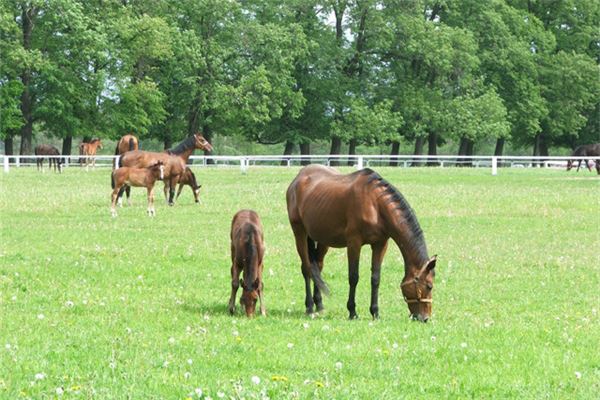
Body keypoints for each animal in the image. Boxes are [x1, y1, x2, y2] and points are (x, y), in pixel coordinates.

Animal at [286, 165, 437, 322]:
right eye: (429, 286)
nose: (425, 318)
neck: (375, 204)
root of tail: (298, 178)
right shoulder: (354, 243)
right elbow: (354, 277)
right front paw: (352, 311)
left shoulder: (380, 244)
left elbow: (375, 278)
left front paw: (375, 312)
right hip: (300, 233)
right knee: (307, 269)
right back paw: (309, 306)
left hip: (322, 239)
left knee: (318, 267)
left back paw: (319, 304)